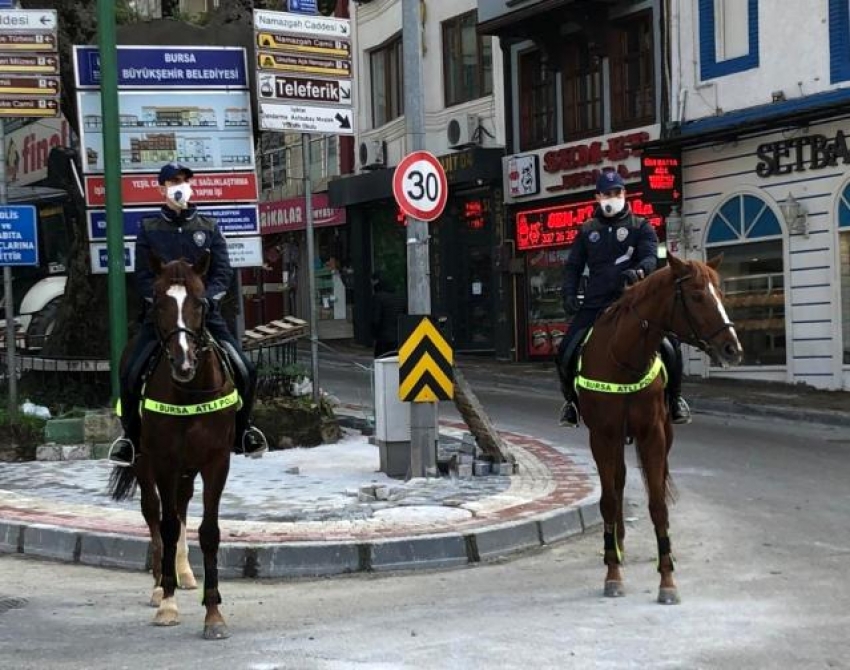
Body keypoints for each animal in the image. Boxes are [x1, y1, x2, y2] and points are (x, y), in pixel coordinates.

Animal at [108, 252, 238, 640]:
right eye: (159, 303)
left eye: (200, 302)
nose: (183, 362)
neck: (189, 391)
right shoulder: (164, 460)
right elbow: (165, 525)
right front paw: (167, 603)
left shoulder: (216, 461)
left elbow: (208, 531)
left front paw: (214, 613)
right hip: (145, 461)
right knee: (154, 512)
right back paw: (158, 584)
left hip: (187, 468)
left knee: (180, 508)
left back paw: (184, 573)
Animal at [572, 255, 740, 608]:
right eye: (696, 296)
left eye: (720, 293)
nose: (732, 348)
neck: (624, 361)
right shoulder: (602, 436)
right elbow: (609, 500)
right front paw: (612, 572)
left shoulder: (654, 434)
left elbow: (658, 504)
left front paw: (667, 578)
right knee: (618, 483)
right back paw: (616, 544)